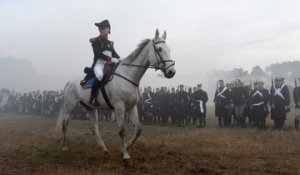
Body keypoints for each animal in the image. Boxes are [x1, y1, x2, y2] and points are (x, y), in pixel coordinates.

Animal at [56, 29, 176, 163]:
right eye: (159, 49)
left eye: (169, 49)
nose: (171, 72)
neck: (128, 75)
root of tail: (69, 82)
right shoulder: (119, 106)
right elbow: (122, 131)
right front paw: (125, 155)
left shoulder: (131, 107)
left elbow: (138, 128)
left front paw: (127, 145)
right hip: (70, 106)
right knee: (65, 124)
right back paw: (65, 147)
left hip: (91, 108)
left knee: (94, 128)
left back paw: (104, 149)